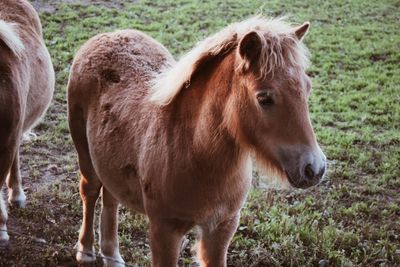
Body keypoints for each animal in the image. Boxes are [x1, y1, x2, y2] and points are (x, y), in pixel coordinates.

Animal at [67, 16, 326, 267]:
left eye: (307, 88)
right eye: (264, 98)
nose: (314, 168)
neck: (194, 152)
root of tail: (109, 35)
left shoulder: (222, 227)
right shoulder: (164, 230)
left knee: (111, 197)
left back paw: (112, 256)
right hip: (84, 152)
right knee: (90, 190)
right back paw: (86, 252)